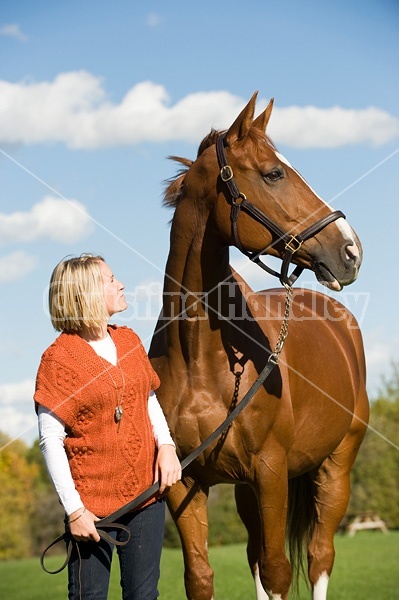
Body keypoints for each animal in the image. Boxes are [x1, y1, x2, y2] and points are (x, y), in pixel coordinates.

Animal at [151, 94, 372, 600]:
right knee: (255, 556)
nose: (350, 251)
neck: (199, 358)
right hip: (246, 490)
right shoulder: (185, 483)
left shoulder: (270, 473)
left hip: (335, 469)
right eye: (273, 173)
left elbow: (277, 572)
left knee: (319, 557)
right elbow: (202, 576)